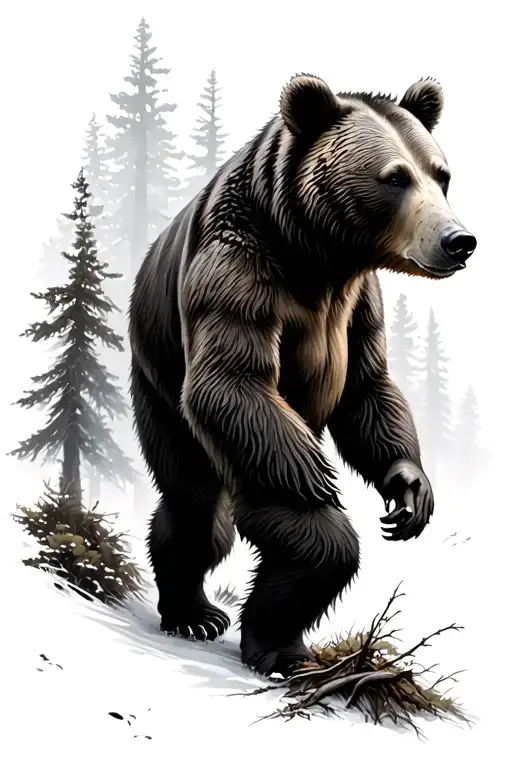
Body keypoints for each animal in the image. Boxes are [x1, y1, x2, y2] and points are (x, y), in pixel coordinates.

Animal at [129, 74, 476, 678]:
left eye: (442, 174)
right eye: (394, 177)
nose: (458, 240)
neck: (319, 258)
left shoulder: (358, 304)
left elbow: (368, 388)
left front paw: (410, 490)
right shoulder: (237, 270)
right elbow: (233, 382)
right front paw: (322, 483)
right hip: (159, 381)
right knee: (198, 506)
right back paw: (198, 614)